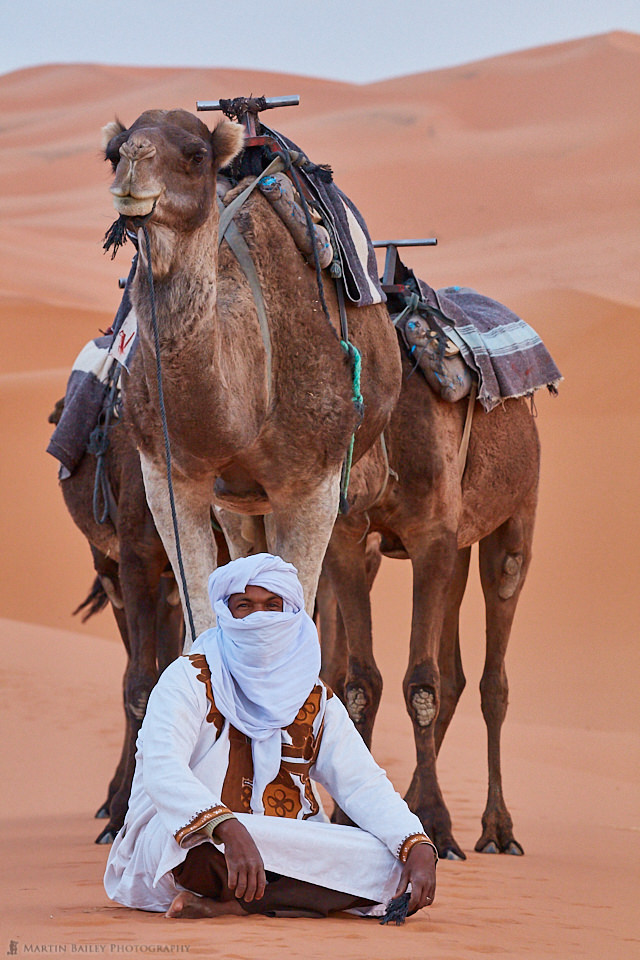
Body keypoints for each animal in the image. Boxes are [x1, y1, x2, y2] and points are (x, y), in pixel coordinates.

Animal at [102, 109, 400, 640]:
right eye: (112, 153)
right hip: (236, 504)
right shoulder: (168, 477)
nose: (134, 159)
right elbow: (200, 617)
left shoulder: (313, 486)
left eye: (196, 155)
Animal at [320, 344, 540, 856]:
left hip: (516, 512)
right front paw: (350, 819)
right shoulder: (348, 535)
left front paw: (438, 825)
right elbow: (362, 683)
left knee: (493, 671)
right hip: (459, 545)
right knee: (454, 671)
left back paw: (498, 830)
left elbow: (421, 685)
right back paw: (410, 803)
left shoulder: (431, 536)